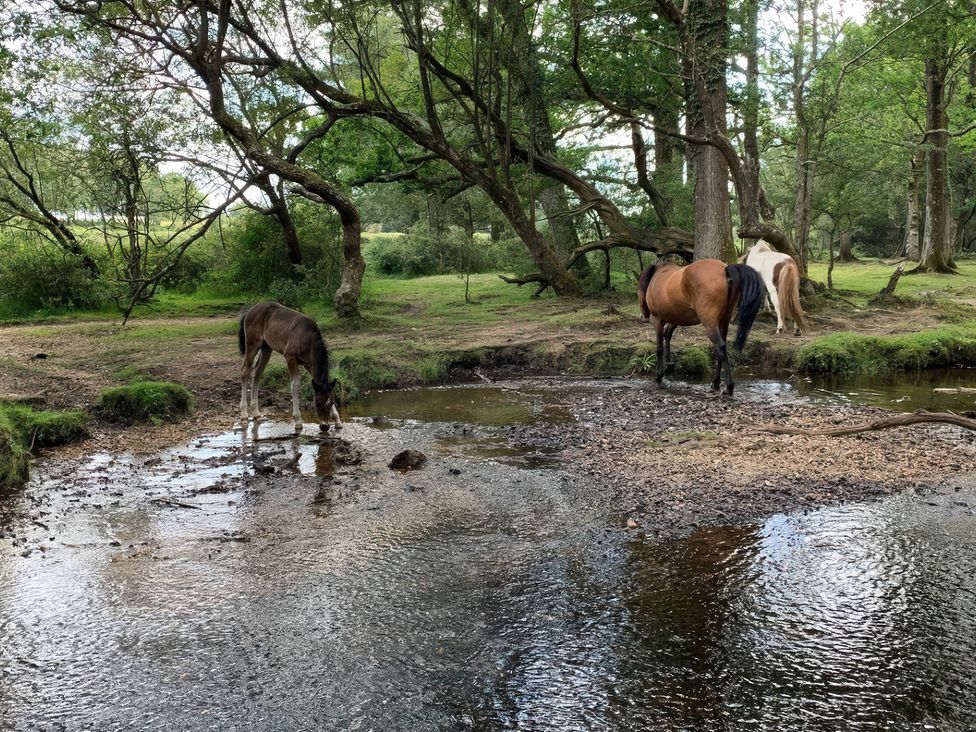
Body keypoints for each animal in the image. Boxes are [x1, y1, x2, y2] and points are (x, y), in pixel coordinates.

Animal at [237, 301, 342, 433]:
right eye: (317, 403)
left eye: (332, 402)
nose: (325, 426)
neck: (308, 338)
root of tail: (249, 311)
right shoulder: (290, 358)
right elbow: (295, 386)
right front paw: (297, 421)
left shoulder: (309, 363)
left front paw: (337, 420)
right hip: (252, 345)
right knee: (245, 372)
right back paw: (244, 414)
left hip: (266, 348)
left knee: (257, 373)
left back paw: (256, 412)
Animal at [637, 259, 765, 396]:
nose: (642, 316)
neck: (658, 276)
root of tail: (724, 270)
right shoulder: (675, 318)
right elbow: (668, 335)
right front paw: (669, 365)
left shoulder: (657, 319)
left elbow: (659, 349)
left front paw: (659, 377)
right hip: (723, 321)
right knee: (721, 349)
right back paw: (716, 383)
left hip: (709, 323)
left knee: (720, 346)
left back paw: (728, 387)